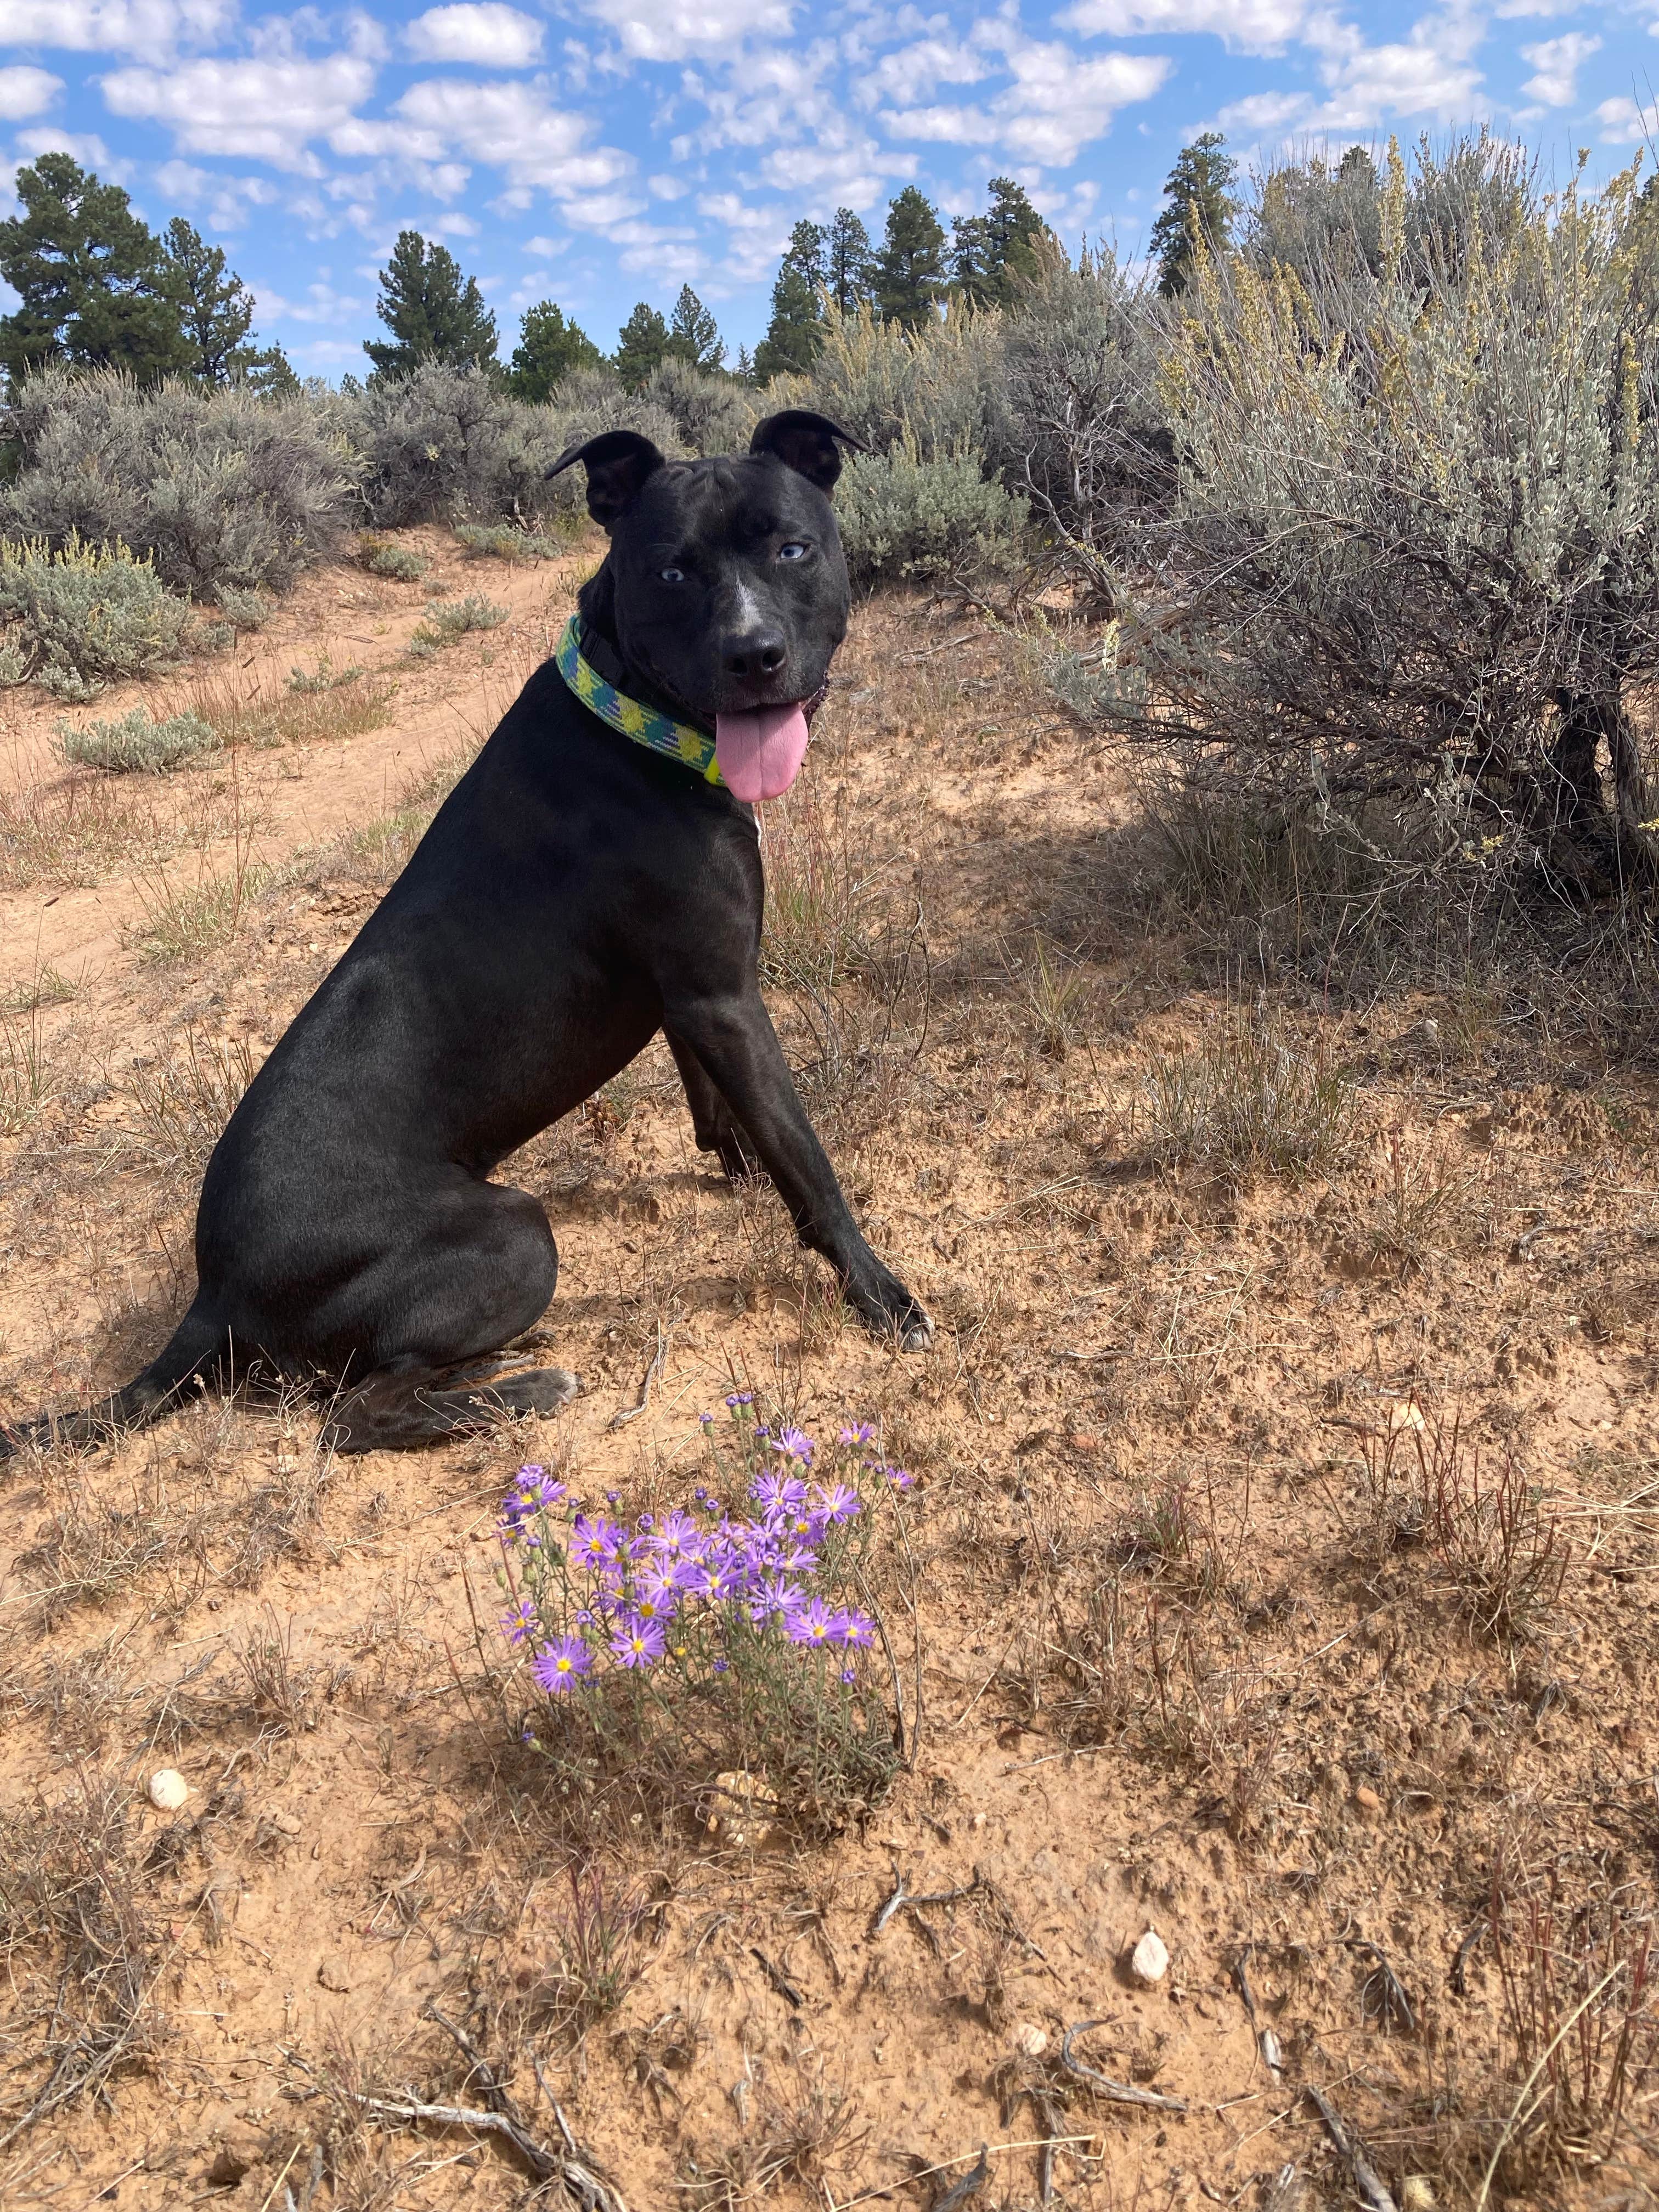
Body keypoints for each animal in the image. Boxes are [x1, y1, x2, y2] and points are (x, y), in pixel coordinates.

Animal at [0, 407, 929, 1460]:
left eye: (791, 548)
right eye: (670, 573)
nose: (754, 654)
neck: (633, 718)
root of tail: (211, 1298)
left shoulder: (695, 993)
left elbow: (719, 1111)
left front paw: (730, 1173)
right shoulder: (726, 996)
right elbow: (807, 1163)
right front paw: (879, 1293)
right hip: (513, 1233)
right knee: (357, 1415)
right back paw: (524, 1387)